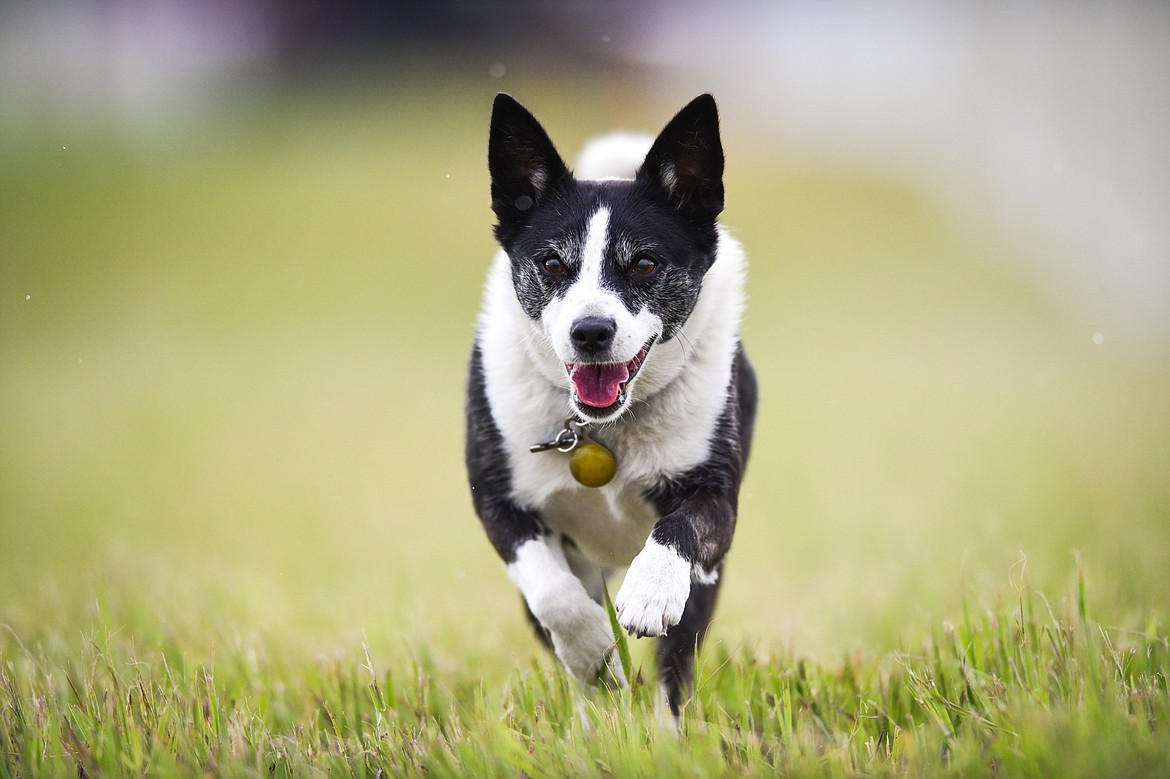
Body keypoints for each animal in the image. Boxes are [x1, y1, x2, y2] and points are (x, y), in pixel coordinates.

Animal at [460, 91, 753, 711]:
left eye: (644, 263)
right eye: (552, 263)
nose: (591, 331)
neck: (605, 430)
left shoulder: (717, 496)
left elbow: (683, 528)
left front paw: (649, 593)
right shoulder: (499, 506)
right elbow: (555, 597)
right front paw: (596, 654)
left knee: (676, 664)